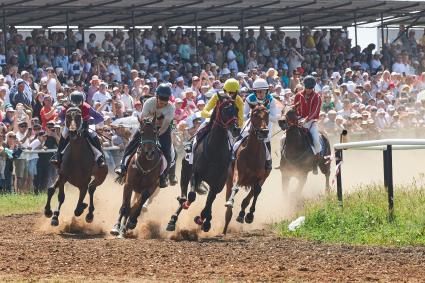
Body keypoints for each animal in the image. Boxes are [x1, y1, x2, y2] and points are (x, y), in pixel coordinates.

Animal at [165, 96, 240, 234]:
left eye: (237, 109)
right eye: (225, 109)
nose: (236, 129)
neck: (214, 151)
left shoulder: (218, 183)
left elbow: (209, 202)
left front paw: (203, 220)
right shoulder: (196, 174)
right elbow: (191, 196)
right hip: (185, 171)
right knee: (184, 194)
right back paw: (173, 220)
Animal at [220, 104, 270, 235]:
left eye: (267, 113)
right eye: (254, 115)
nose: (264, 131)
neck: (253, 153)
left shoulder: (260, 177)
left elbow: (256, 192)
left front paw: (249, 215)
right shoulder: (239, 172)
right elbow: (235, 187)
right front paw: (230, 203)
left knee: (252, 194)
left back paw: (242, 214)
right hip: (229, 179)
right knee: (230, 197)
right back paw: (225, 226)